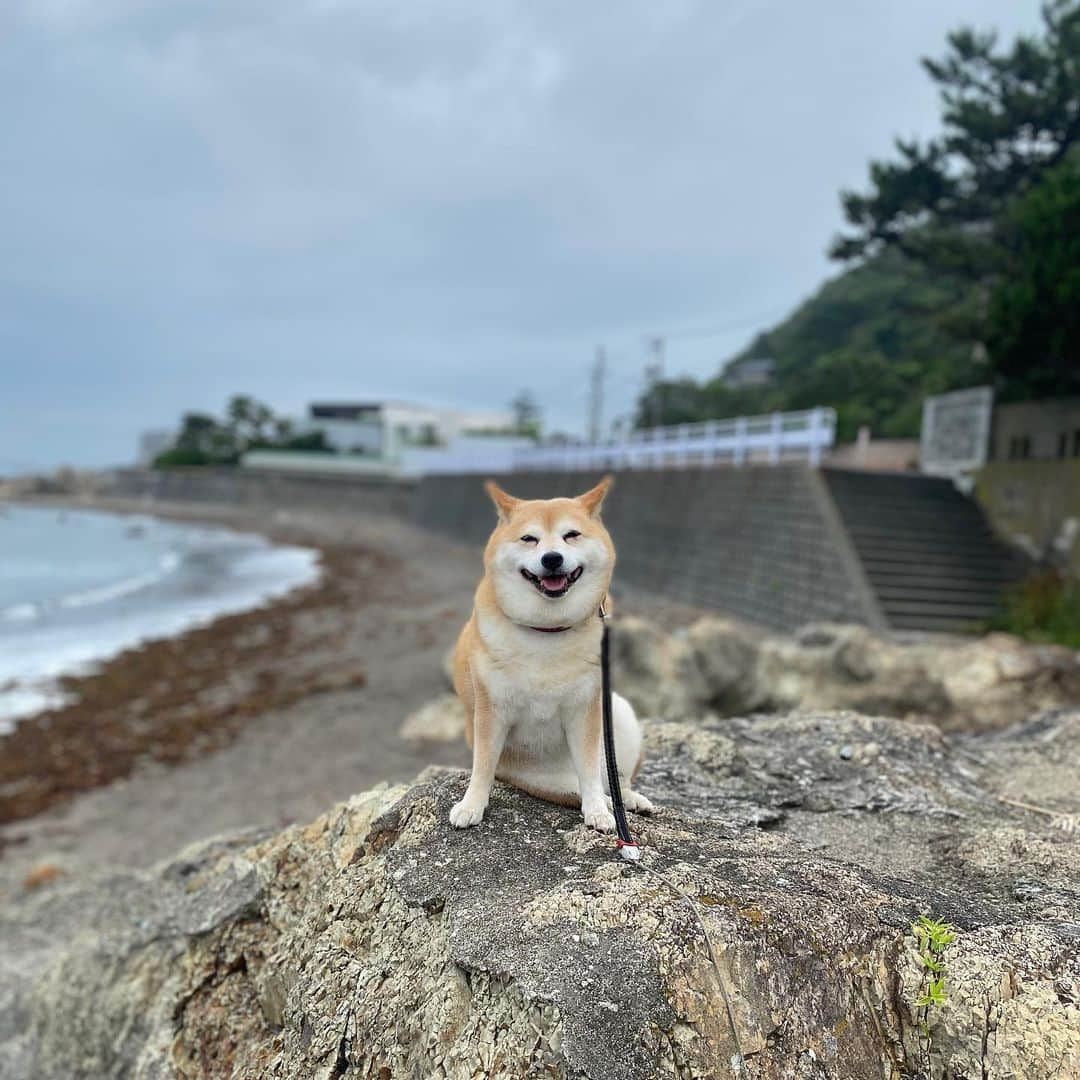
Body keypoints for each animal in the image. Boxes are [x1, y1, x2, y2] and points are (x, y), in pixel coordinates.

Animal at [444, 475, 648, 833]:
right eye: (529, 538)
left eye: (572, 535)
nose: (552, 558)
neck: (546, 630)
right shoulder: (491, 709)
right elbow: (482, 766)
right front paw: (471, 805)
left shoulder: (586, 710)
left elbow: (590, 771)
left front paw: (597, 812)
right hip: (536, 777)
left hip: (617, 711)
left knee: (614, 781)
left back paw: (627, 800)